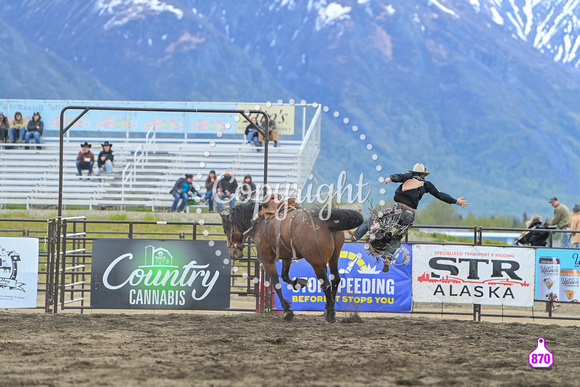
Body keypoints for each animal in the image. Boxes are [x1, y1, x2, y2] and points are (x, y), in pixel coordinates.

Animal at [222, 202, 362, 322]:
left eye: (225, 230)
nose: (233, 253)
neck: (259, 222)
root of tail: (328, 223)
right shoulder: (287, 257)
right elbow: (285, 276)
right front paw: (299, 283)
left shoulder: (267, 260)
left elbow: (276, 283)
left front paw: (287, 310)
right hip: (334, 258)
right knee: (335, 280)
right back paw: (328, 308)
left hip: (317, 263)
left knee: (326, 284)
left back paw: (330, 314)